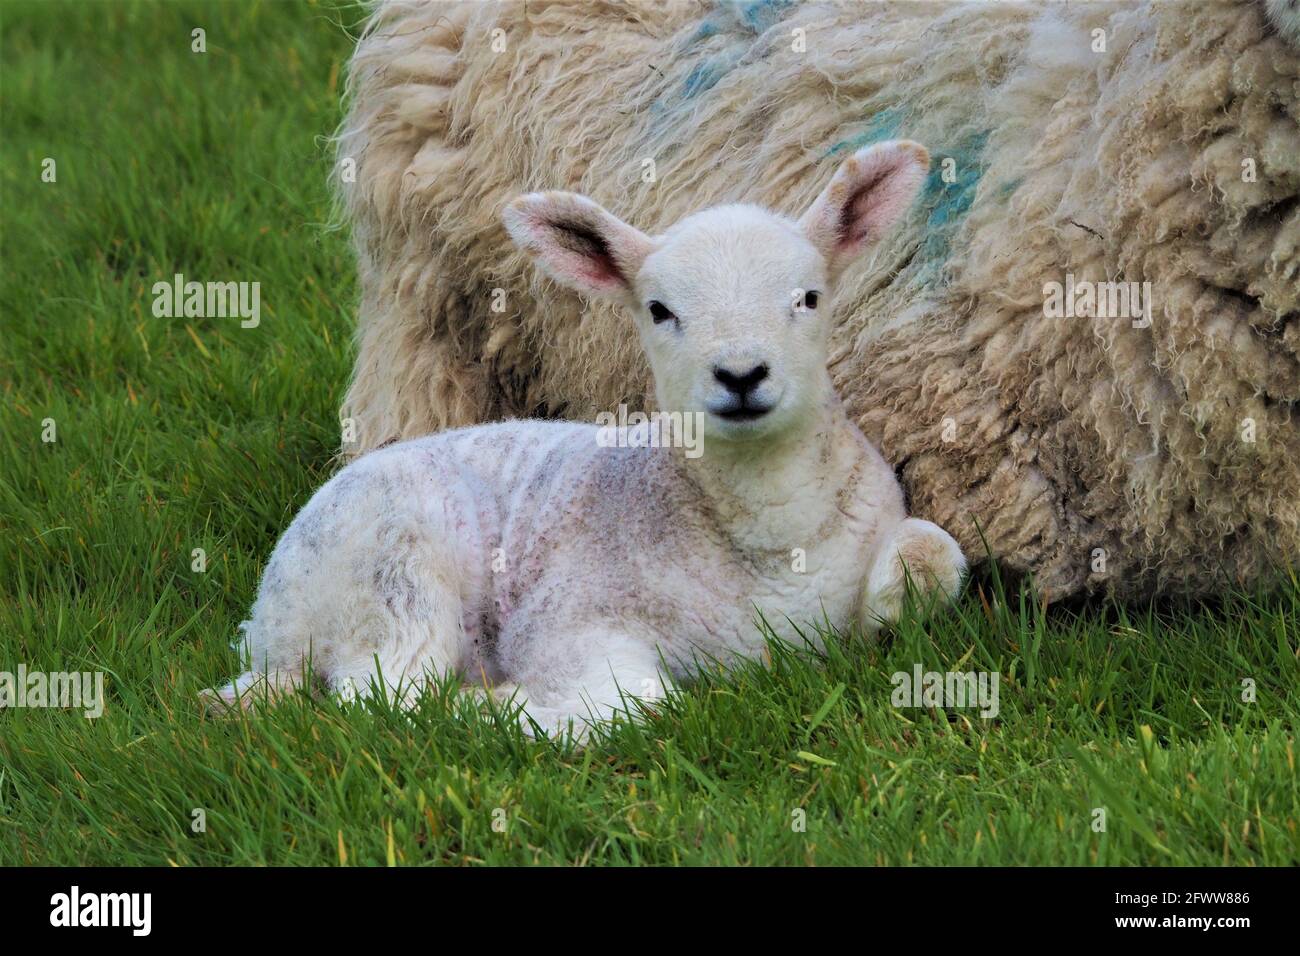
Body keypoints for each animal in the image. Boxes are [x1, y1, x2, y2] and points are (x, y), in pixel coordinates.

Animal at [205, 141, 967, 738]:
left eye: (809, 297)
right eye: (659, 310)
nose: (741, 375)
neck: (768, 540)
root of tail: (267, 631)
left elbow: (936, 557)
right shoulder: (566, 619)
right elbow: (639, 705)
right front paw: (498, 707)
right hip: (390, 569)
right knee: (382, 694)